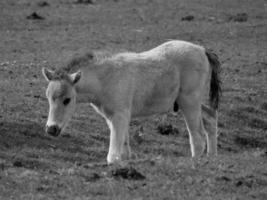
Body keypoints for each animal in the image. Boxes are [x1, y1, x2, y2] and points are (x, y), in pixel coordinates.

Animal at [42, 40, 222, 164]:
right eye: (48, 97)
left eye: (67, 100)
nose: (51, 129)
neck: (105, 79)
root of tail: (202, 49)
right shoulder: (112, 117)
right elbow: (124, 151)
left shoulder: (120, 115)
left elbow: (113, 157)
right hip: (191, 102)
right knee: (211, 118)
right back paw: (211, 158)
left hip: (189, 102)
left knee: (197, 138)